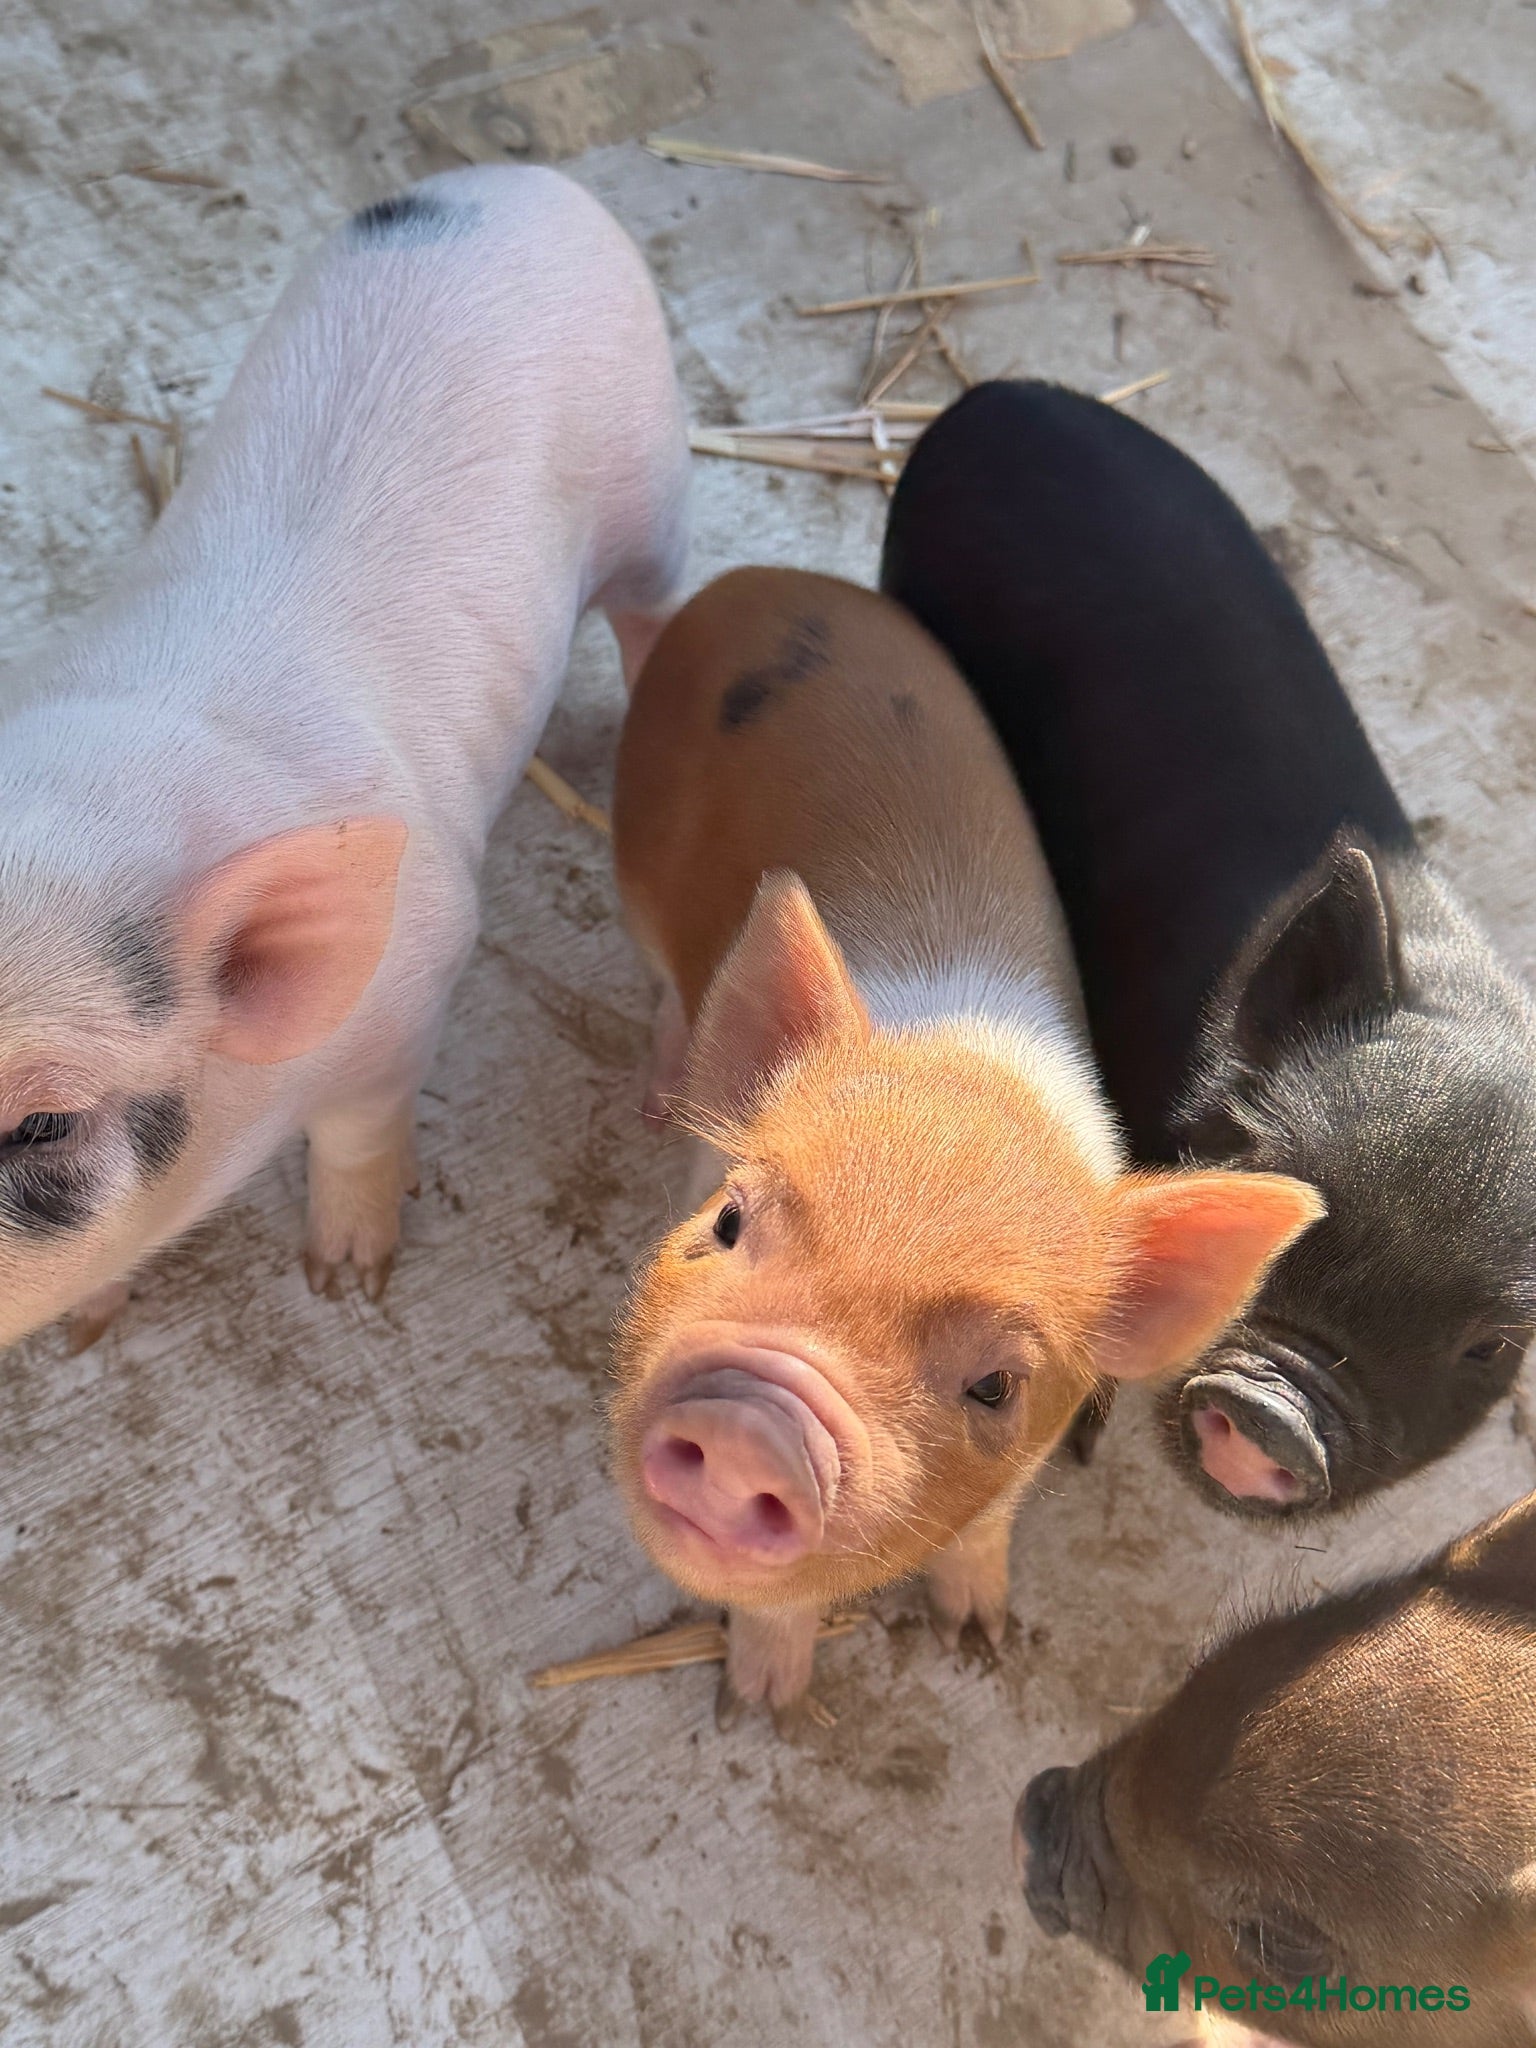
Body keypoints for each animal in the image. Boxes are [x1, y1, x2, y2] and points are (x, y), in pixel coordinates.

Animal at [0, 165, 689, 1350]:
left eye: (43, 1123)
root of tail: (529, 181)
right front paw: (90, 1327)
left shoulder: (417, 975)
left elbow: (360, 1135)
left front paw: (347, 1281)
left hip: (653, 479)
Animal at [606, 566, 1321, 1728]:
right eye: (728, 1219)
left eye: (995, 1384)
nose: (756, 1422)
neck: (968, 1068)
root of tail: (752, 581)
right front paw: (760, 1708)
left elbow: (986, 1522)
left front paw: (978, 1640)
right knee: (671, 987)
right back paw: (659, 1097)